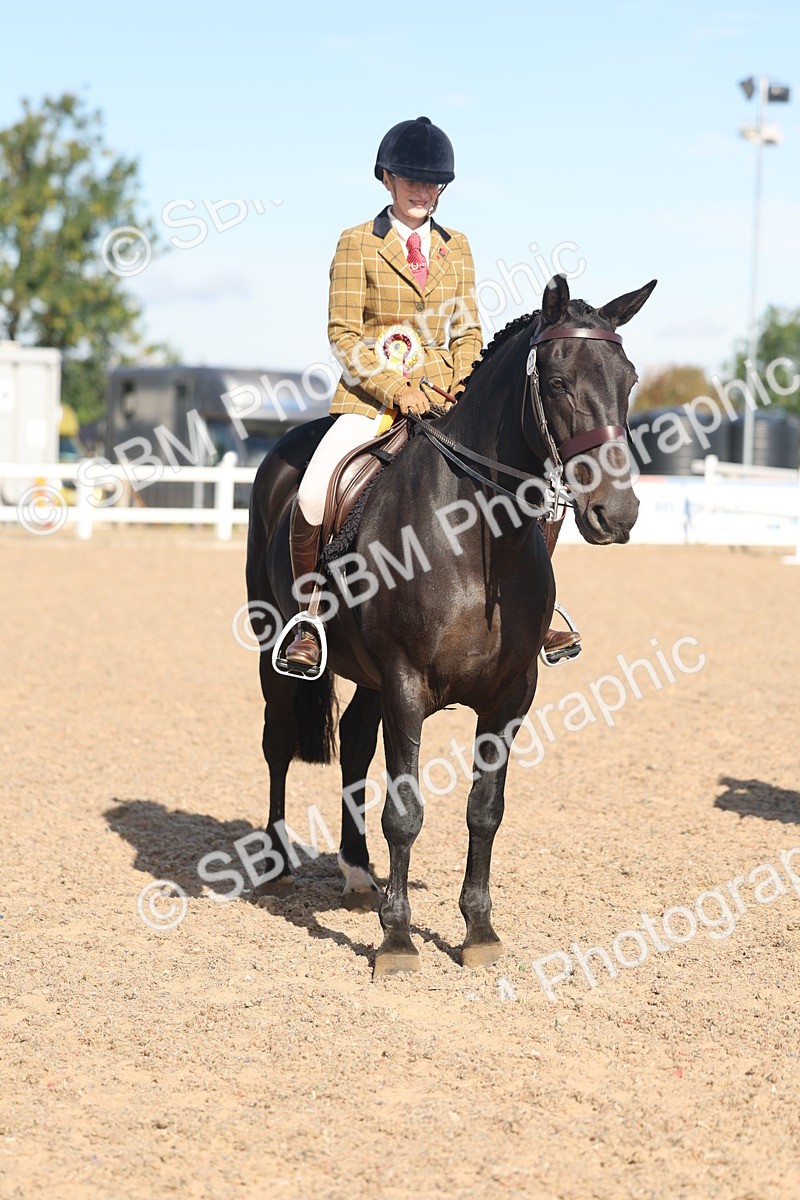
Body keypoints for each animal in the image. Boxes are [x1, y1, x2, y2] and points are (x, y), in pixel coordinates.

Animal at [245, 272, 656, 975]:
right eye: (556, 381)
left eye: (628, 380)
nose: (616, 513)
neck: (474, 534)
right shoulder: (407, 686)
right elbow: (405, 812)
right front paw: (397, 941)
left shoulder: (510, 695)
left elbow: (484, 810)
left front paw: (479, 931)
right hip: (273, 640)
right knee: (278, 742)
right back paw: (278, 870)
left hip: (370, 678)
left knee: (355, 745)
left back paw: (359, 877)